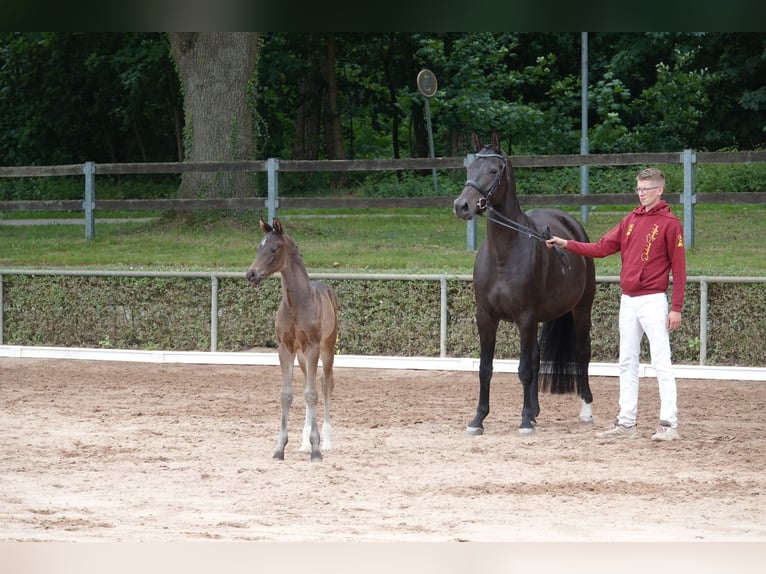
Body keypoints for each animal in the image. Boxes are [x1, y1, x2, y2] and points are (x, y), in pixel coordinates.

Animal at [249, 217, 340, 464]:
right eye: (258, 247)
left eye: (273, 249)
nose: (251, 275)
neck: (297, 302)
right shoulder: (286, 348)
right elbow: (287, 394)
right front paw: (280, 448)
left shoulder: (313, 347)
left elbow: (313, 394)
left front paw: (317, 450)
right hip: (301, 356)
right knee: (309, 383)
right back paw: (304, 443)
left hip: (327, 348)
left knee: (325, 384)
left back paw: (326, 442)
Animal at [452, 132, 596, 436]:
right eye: (470, 169)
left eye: (494, 170)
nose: (462, 206)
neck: (503, 254)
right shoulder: (486, 317)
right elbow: (486, 368)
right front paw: (478, 419)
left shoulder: (525, 317)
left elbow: (524, 370)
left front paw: (525, 421)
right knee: (536, 357)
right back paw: (535, 410)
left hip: (581, 309)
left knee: (581, 353)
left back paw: (585, 410)